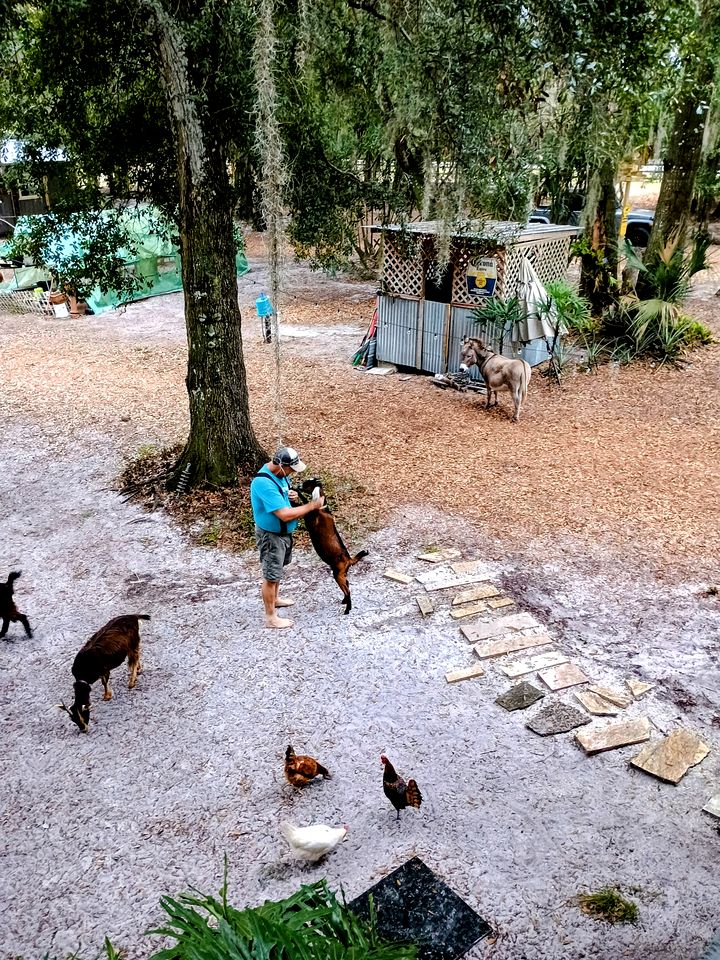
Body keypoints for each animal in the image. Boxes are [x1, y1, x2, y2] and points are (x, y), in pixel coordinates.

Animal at [297, 478, 368, 614]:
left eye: (305, 484)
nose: (297, 485)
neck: (321, 508)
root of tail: (349, 560)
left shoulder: (309, 520)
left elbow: (304, 502)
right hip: (341, 574)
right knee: (348, 585)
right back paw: (344, 601)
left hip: (338, 575)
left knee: (348, 590)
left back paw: (347, 609)